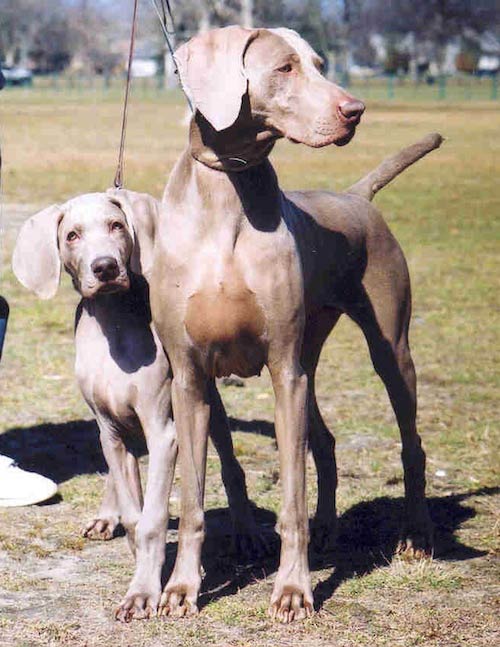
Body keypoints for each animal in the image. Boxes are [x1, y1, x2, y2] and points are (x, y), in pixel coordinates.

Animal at [13, 191, 256, 612]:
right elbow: (133, 516)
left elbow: (152, 519)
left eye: (116, 226)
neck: (112, 324)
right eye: (72, 235)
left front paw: (144, 590)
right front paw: (143, 568)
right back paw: (106, 516)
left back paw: (245, 533)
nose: (106, 267)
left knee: (230, 465)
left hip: (204, 401)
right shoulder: (109, 432)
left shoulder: (163, 433)